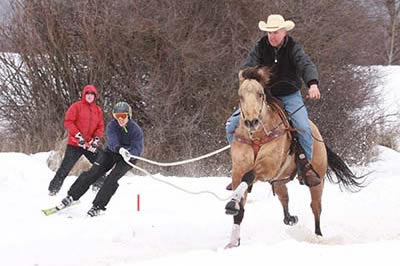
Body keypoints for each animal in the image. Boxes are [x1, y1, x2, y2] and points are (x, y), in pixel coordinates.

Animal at [223, 65, 364, 248]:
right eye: (240, 95)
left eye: (260, 94)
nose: (251, 122)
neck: (257, 136)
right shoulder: (238, 169)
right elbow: (240, 207)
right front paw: (233, 240)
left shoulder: (268, 166)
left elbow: (249, 176)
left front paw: (231, 204)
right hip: (279, 181)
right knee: (284, 198)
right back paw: (290, 218)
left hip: (317, 182)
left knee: (316, 207)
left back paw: (318, 237)